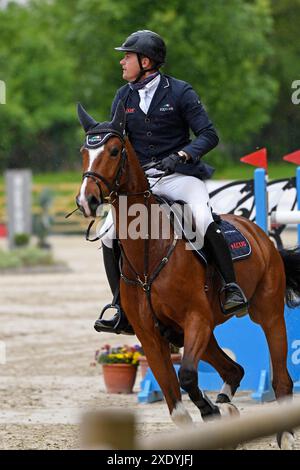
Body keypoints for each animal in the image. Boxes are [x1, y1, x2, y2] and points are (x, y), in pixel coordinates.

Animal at [75, 102, 300, 448]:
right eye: (84, 152)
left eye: (113, 151)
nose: (86, 200)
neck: (149, 251)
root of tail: (260, 233)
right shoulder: (151, 336)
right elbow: (178, 406)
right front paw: (213, 416)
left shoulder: (196, 319)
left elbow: (188, 377)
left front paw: (210, 413)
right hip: (193, 334)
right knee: (234, 370)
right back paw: (228, 408)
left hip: (267, 314)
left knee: (281, 379)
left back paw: (283, 434)